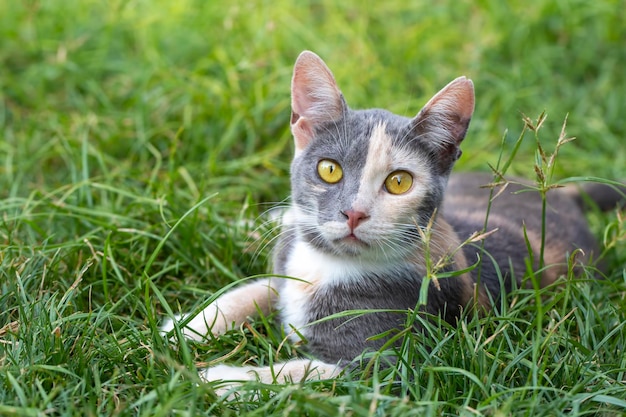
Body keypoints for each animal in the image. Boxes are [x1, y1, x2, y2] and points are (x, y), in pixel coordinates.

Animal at [160, 50, 620, 392]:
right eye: (329, 170)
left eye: (399, 182)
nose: (353, 212)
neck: (329, 265)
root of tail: (564, 195)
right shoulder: (290, 265)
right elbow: (260, 286)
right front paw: (187, 326)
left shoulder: (397, 354)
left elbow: (307, 371)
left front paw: (215, 378)